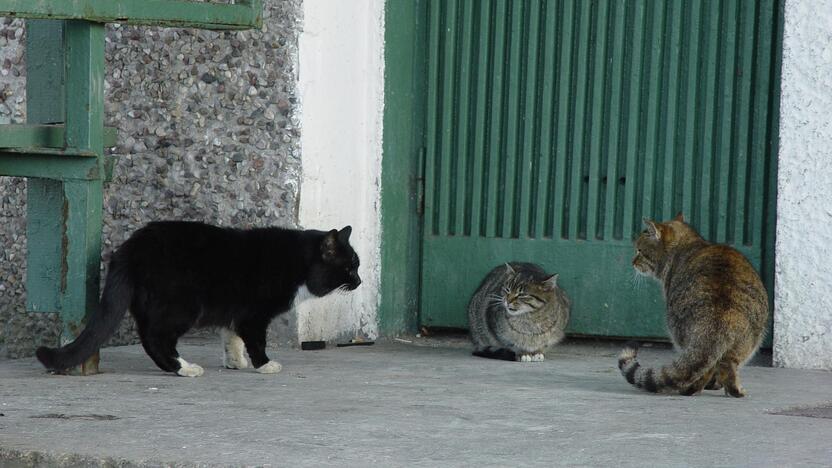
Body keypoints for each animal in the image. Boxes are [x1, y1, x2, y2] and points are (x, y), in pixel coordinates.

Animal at [36, 221, 360, 378]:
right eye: (348, 268)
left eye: (357, 265)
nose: (359, 282)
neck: (297, 262)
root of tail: (130, 248)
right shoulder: (254, 314)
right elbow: (255, 340)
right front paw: (264, 365)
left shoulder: (235, 310)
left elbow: (231, 336)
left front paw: (235, 362)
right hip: (182, 305)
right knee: (156, 337)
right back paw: (183, 368)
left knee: (148, 335)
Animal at [616, 214, 768, 396]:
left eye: (639, 250)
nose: (632, 262)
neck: (688, 245)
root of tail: (719, 319)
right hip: (748, 343)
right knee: (726, 366)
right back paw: (733, 390)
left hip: (678, 333)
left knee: (706, 369)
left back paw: (691, 389)